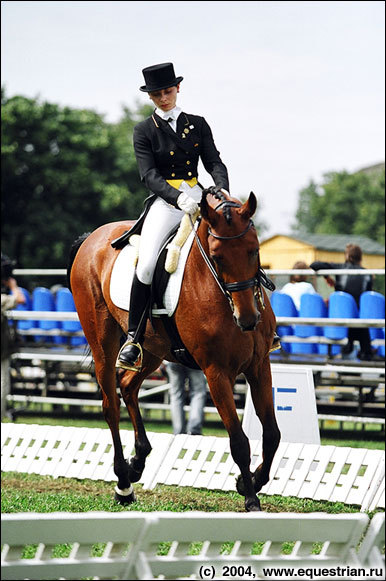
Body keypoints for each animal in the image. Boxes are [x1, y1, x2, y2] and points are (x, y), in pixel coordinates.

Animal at [68, 188, 280, 510]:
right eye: (217, 257)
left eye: (254, 250)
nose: (247, 320)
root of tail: (93, 237)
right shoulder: (216, 373)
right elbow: (239, 441)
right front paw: (251, 497)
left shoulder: (259, 366)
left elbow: (272, 434)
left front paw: (251, 481)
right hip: (103, 344)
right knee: (110, 406)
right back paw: (123, 484)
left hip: (152, 351)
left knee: (128, 386)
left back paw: (138, 461)